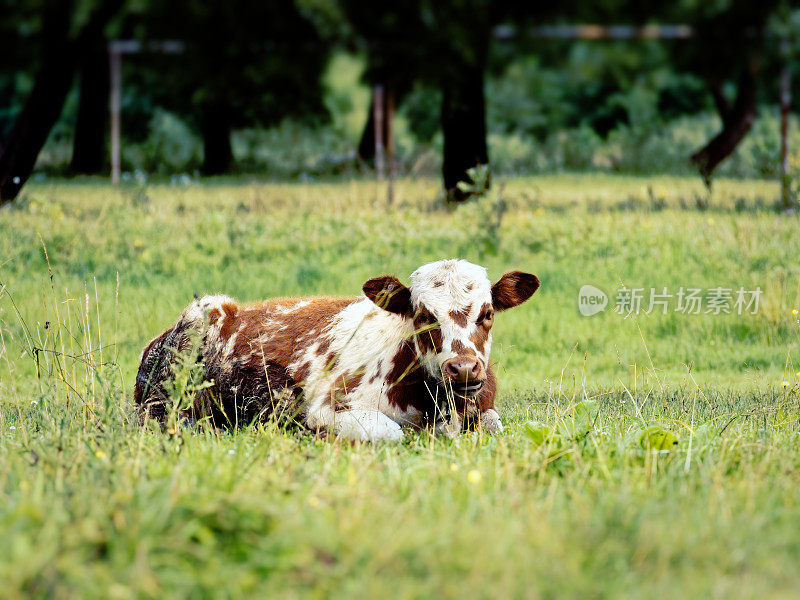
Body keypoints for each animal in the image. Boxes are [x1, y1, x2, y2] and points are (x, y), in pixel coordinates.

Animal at [134, 258, 540, 440]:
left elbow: (494, 424)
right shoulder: (326, 408)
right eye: (424, 315)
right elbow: (391, 433)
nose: (464, 368)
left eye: (487, 313)